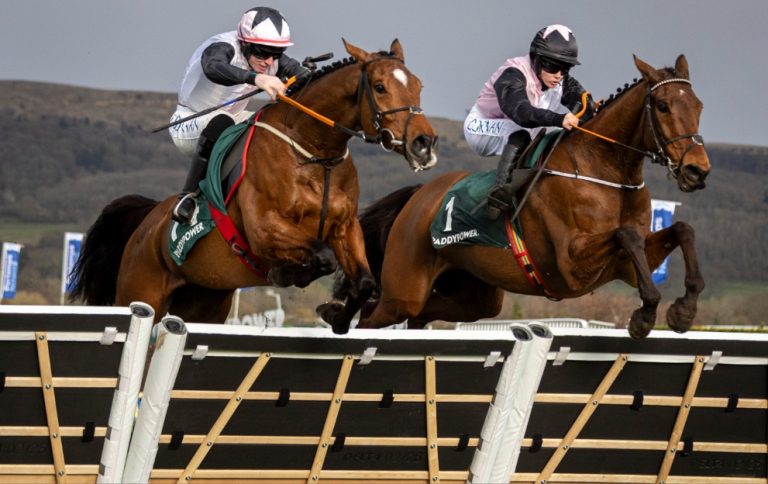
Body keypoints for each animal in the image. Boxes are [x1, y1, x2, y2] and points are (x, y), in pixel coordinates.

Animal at [72, 39, 438, 324]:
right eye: (380, 87)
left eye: (419, 85)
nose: (423, 143)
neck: (312, 154)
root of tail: (146, 222)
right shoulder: (265, 229)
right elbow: (321, 257)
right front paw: (288, 273)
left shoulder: (345, 228)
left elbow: (363, 282)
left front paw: (336, 315)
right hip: (140, 293)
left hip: (203, 302)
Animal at [320, 54, 712, 340]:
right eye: (662, 106)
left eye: (698, 105)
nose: (697, 170)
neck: (605, 172)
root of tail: (418, 197)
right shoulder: (572, 266)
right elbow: (625, 234)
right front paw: (646, 314)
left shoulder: (623, 265)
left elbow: (683, 230)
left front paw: (684, 309)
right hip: (403, 291)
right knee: (372, 318)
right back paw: (340, 318)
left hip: (473, 298)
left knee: (422, 316)